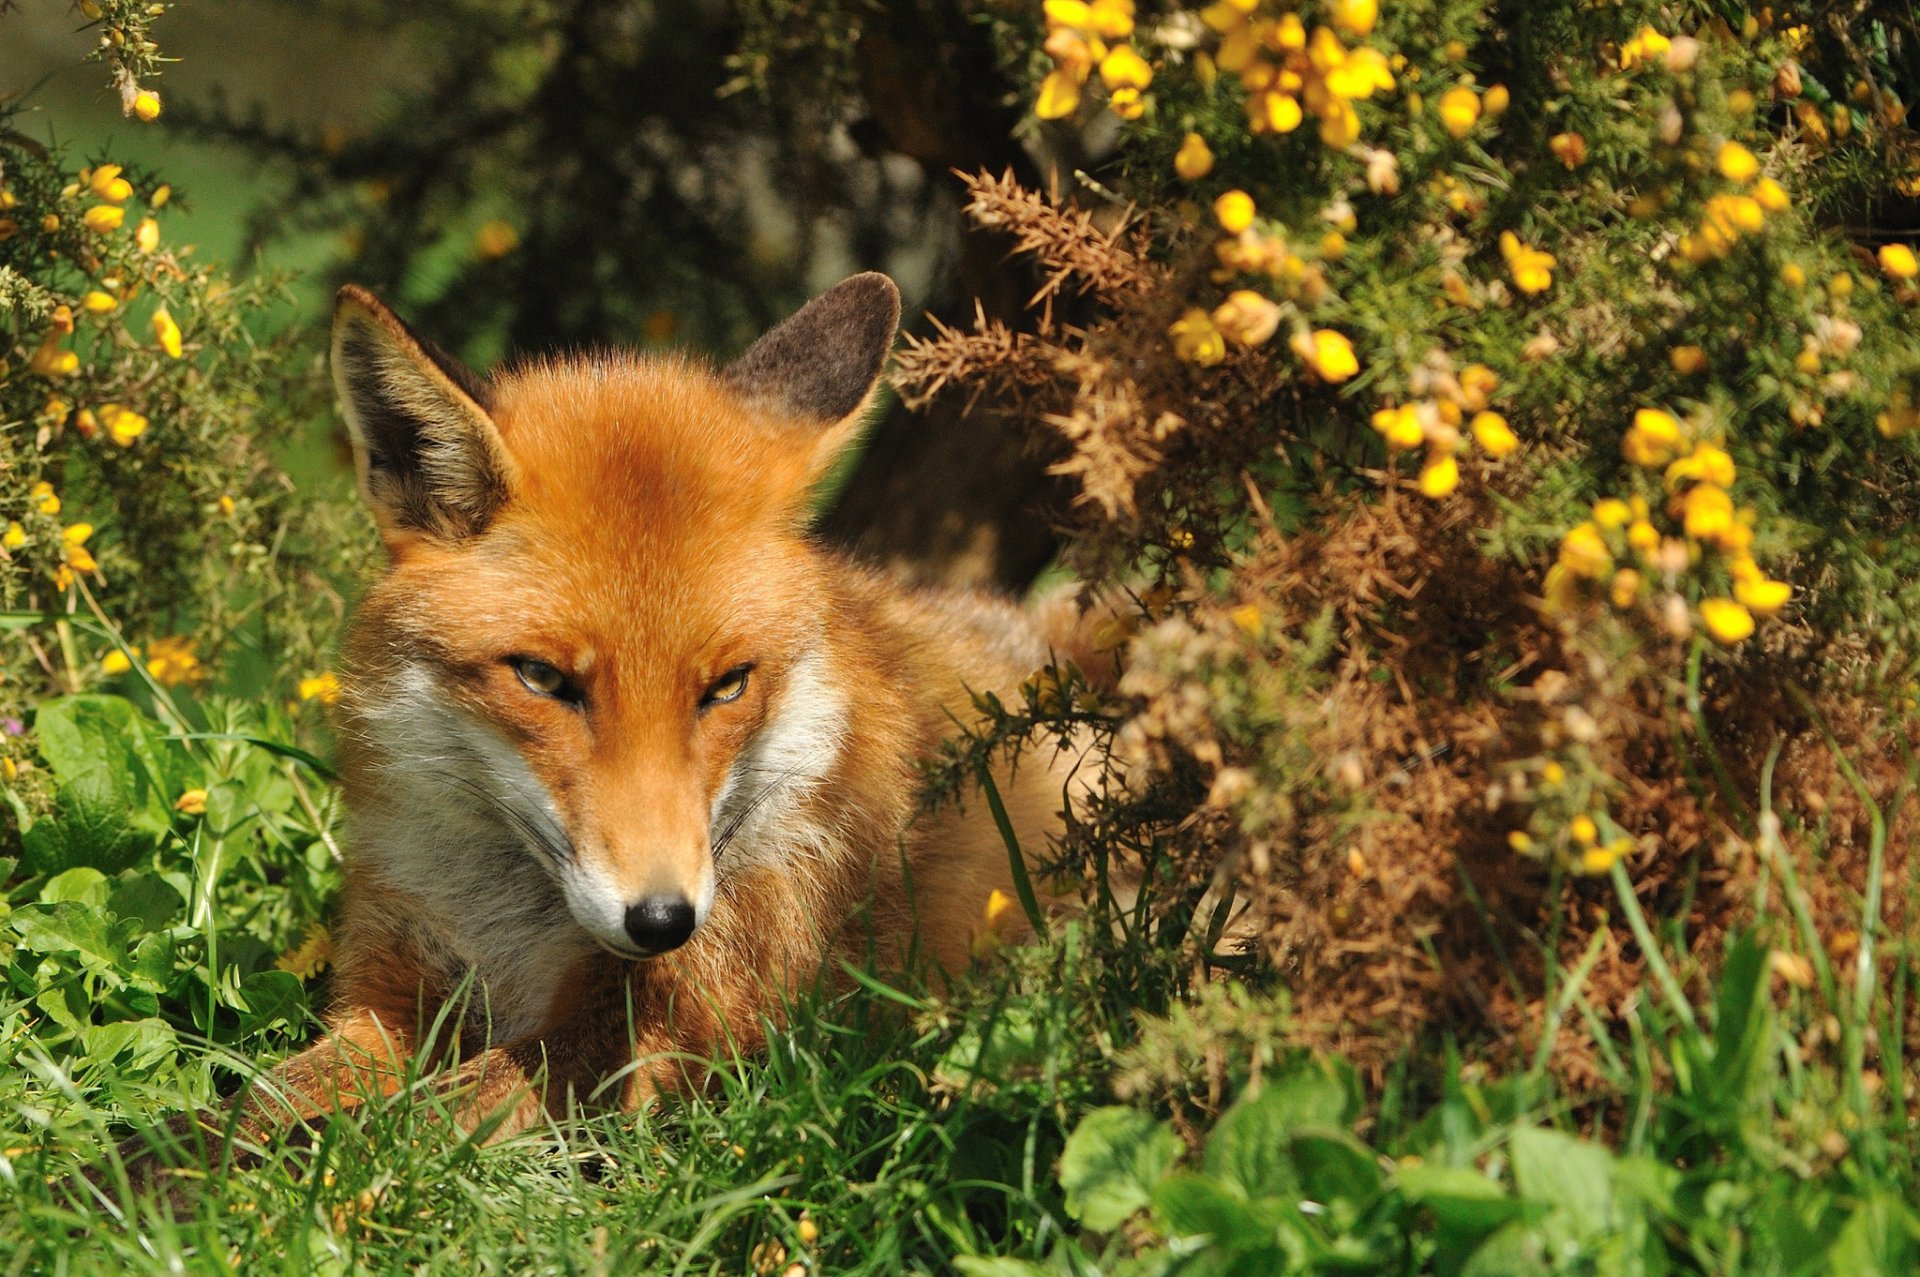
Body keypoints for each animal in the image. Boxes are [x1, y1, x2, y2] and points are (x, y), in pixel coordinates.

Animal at [162, 273, 1101, 1153]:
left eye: (727, 686)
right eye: (543, 678)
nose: (662, 921)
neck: (508, 931)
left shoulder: (652, 1036)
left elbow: (383, 1131)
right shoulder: (384, 998)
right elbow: (250, 1108)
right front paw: (163, 1162)